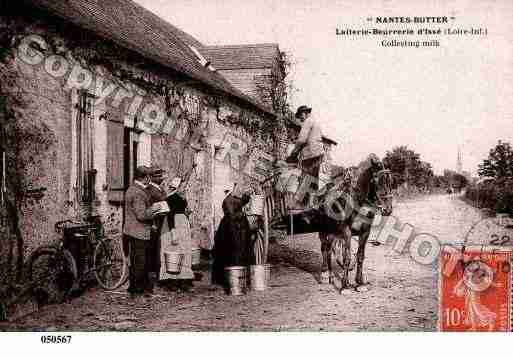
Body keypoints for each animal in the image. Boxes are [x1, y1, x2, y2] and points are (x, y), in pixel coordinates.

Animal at [312, 155, 392, 292]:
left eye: (390, 181)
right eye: (378, 181)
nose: (388, 209)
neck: (358, 202)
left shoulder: (365, 232)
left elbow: (360, 256)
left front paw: (359, 283)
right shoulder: (346, 232)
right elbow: (347, 257)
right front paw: (345, 285)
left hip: (334, 232)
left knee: (329, 249)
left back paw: (331, 276)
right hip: (323, 230)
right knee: (324, 248)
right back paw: (324, 274)